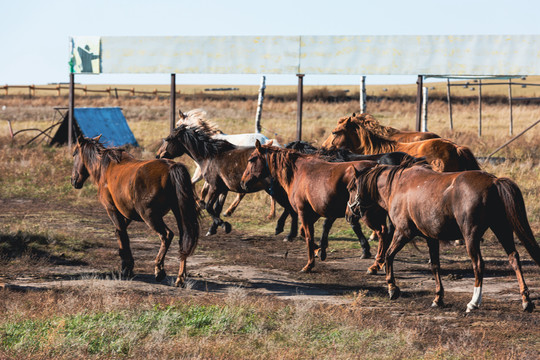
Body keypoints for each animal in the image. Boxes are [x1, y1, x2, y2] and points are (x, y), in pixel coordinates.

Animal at [69, 135, 199, 286]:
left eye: (74, 154)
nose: (73, 180)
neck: (105, 168)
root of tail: (171, 166)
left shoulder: (112, 210)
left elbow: (123, 236)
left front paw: (127, 267)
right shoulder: (127, 214)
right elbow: (120, 234)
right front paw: (126, 265)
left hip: (150, 215)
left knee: (166, 235)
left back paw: (159, 270)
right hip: (179, 213)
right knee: (184, 240)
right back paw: (180, 278)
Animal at [242, 141, 392, 272]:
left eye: (252, 159)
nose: (243, 183)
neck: (298, 172)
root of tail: (377, 168)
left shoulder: (304, 212)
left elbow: (309, 236)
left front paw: (309, 265)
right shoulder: (313, 213)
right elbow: (305, 233)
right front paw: (320, 251)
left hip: (366, 214)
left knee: (382, 233)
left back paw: (376, 265)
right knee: (385, 233)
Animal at [346, 160, 540, 312]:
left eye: (351, 187)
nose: (349, 214)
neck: (398, 185)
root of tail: (493, 181)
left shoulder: (403, 233)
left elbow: (388, 256)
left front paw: (392, 288)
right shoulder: (431, 238)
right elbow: (435, 266)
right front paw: (438, 298)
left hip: (471, 236)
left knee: (478, 264)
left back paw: (474, 302)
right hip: (502, 229)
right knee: (514, 258)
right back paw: (526, 301)